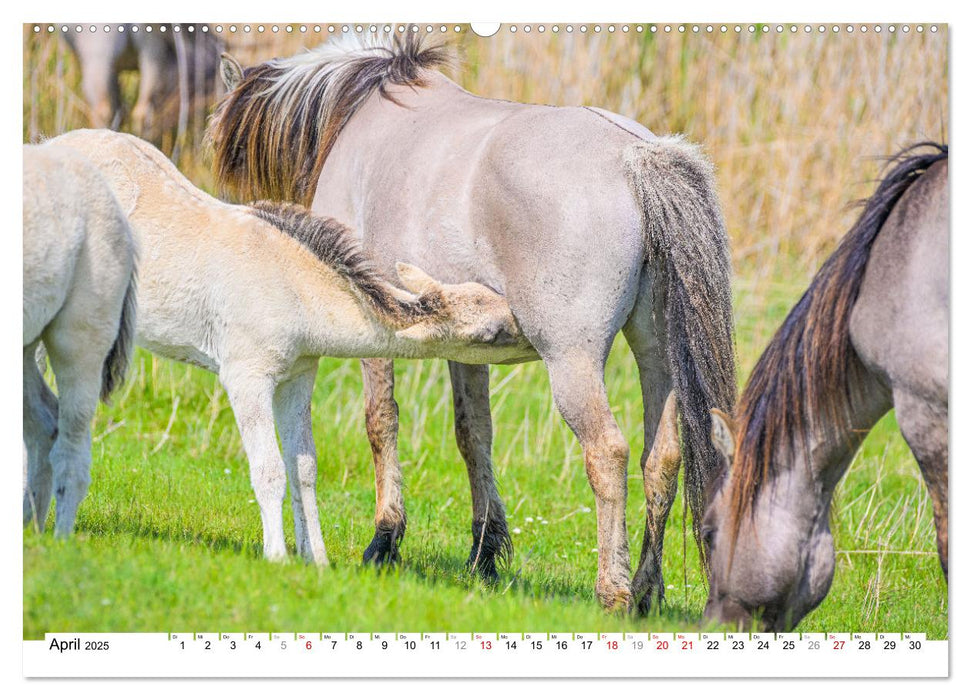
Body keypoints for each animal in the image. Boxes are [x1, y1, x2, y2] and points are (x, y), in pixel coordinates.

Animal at [48, 127, 532, 564]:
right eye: (492, 334)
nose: (529, 330)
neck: (295, 289)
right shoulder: (245, 376)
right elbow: (269, 469)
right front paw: (277, 555)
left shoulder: (298, 375)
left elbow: (305, 468)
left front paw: (316, 559)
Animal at [207, 34, 736, 612]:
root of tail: (635, 157)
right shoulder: (466, 344)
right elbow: (473, 434)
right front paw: (484, 553)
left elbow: (380, 420)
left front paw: (385, 541)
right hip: (655, 354)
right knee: (660, 459)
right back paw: (645, 592)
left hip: (572, 361)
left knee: (608, 454)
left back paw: (612, 591)